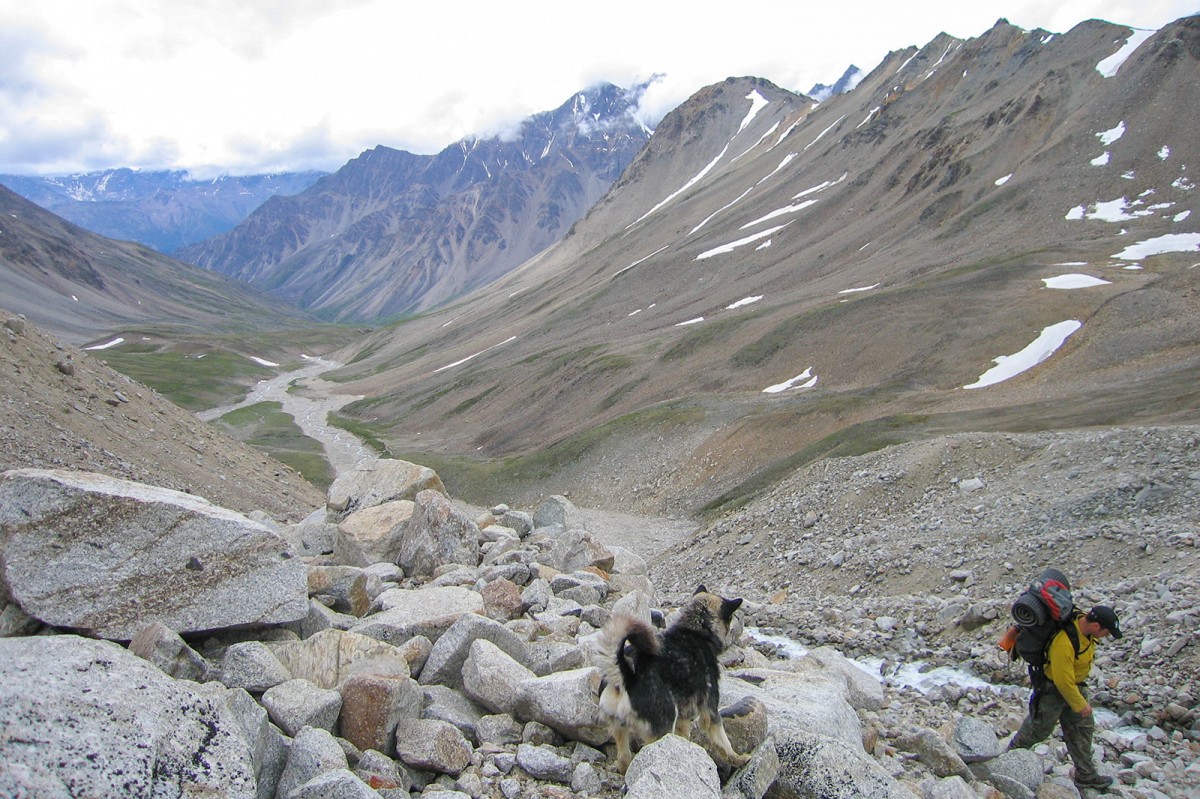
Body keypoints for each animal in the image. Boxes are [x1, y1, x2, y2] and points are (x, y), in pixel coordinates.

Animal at [592, 585, 748, 772]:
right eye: (733, 616)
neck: (696, 630)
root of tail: (626, 676)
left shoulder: (683, 718)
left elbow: (685, 736)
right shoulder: (710, 710)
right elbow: (723, 741)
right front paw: (738, 759)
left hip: (619, 729)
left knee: (624, 760)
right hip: (664, 725)